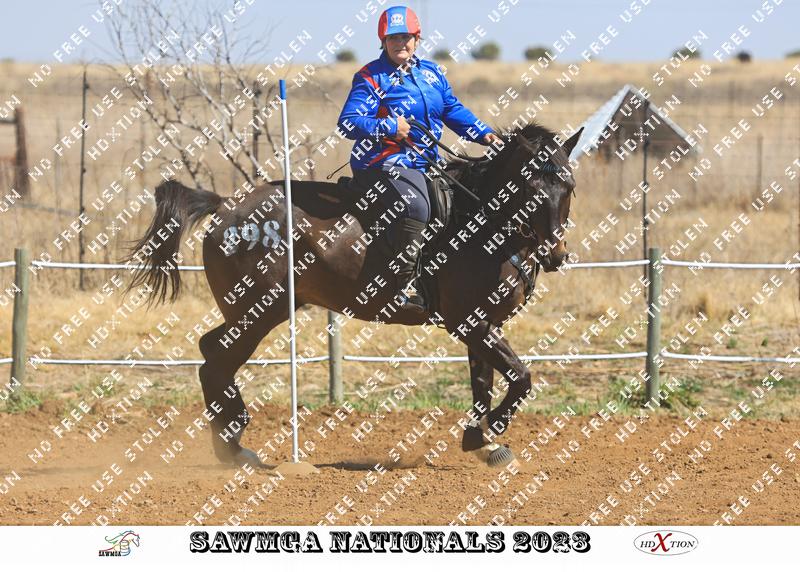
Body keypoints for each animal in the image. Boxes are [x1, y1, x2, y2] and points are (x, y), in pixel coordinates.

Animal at [123, 121, 583, 468]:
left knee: (211, 353)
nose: (556, 254)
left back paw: (232, 442)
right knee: (215, 361)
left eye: (569, 187)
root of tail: (225, 207)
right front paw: (496, 429)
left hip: (256, 312)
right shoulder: (470, 323)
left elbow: (483, 383)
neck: (480, 223)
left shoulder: (482, 324)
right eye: (533, 189)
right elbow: (520, 378)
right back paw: (234, 446)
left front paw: (479, 441)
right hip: (258, 311)